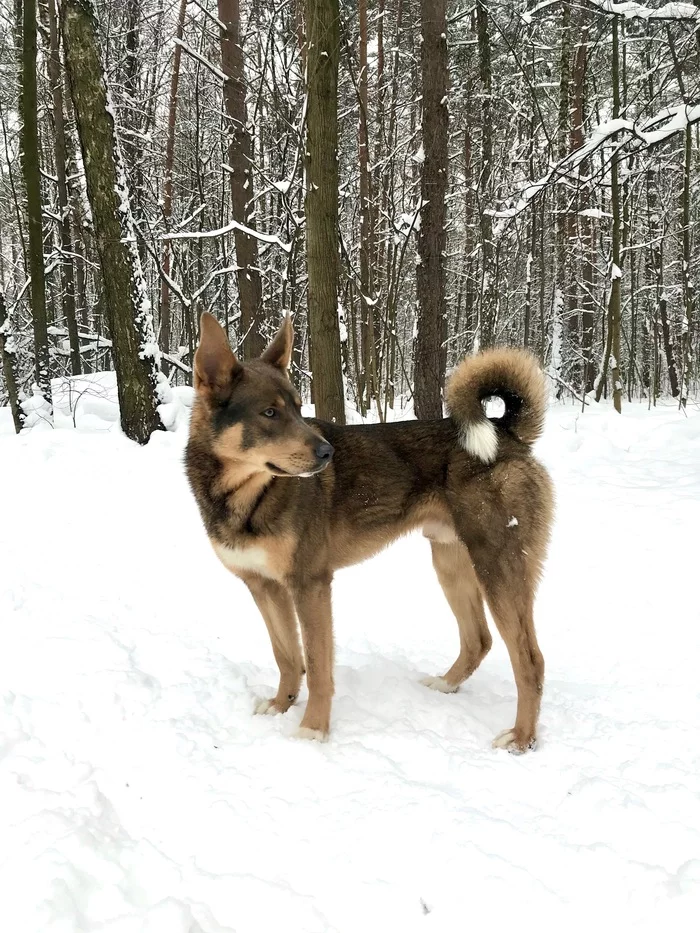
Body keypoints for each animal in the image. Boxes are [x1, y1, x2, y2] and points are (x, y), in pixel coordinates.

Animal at [185, 312, 552, 748]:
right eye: (270, 413)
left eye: (297, 408)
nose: (327, 453)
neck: (249, 495)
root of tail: (506, 432)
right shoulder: (263, 586)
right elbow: (287, 656)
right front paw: (280, 704)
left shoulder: (310, 584)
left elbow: (317, 666)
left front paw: (312, 728)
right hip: (451, 562)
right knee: (479, 639)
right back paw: (446, 684)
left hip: (498, 566)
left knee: (530, 660)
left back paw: (521, 737)